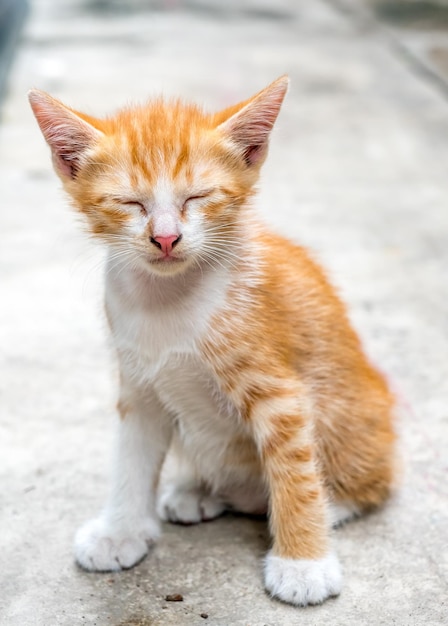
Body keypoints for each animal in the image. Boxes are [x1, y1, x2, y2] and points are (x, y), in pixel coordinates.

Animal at [28, 78, 396, 604]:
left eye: (197, 197)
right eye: (130, 203)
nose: (165, 239)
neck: (166, 301)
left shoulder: (281, 396)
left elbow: (295, 471)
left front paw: (303, 562)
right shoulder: (138, 387)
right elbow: (130, 459)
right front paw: (119, 531)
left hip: (352, 413)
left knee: (367, 480)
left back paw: (333, 506)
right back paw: (199, 491)